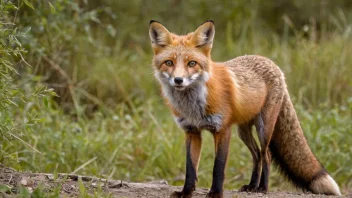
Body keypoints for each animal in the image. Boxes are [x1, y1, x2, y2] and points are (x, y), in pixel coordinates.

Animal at [148, 20, 340, 198]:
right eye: (169, 63)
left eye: (192, 63)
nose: (178, 80)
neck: (193, 106)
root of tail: (273, 64)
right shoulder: (192, 132)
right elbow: (190, 168)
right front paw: (186, 192)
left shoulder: (222, 130)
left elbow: (218, 167)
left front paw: (216, 193)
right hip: (243, 131)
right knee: (256, 156)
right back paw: (252, 186)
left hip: (264, 128)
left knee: (266, 155)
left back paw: (262, 188)